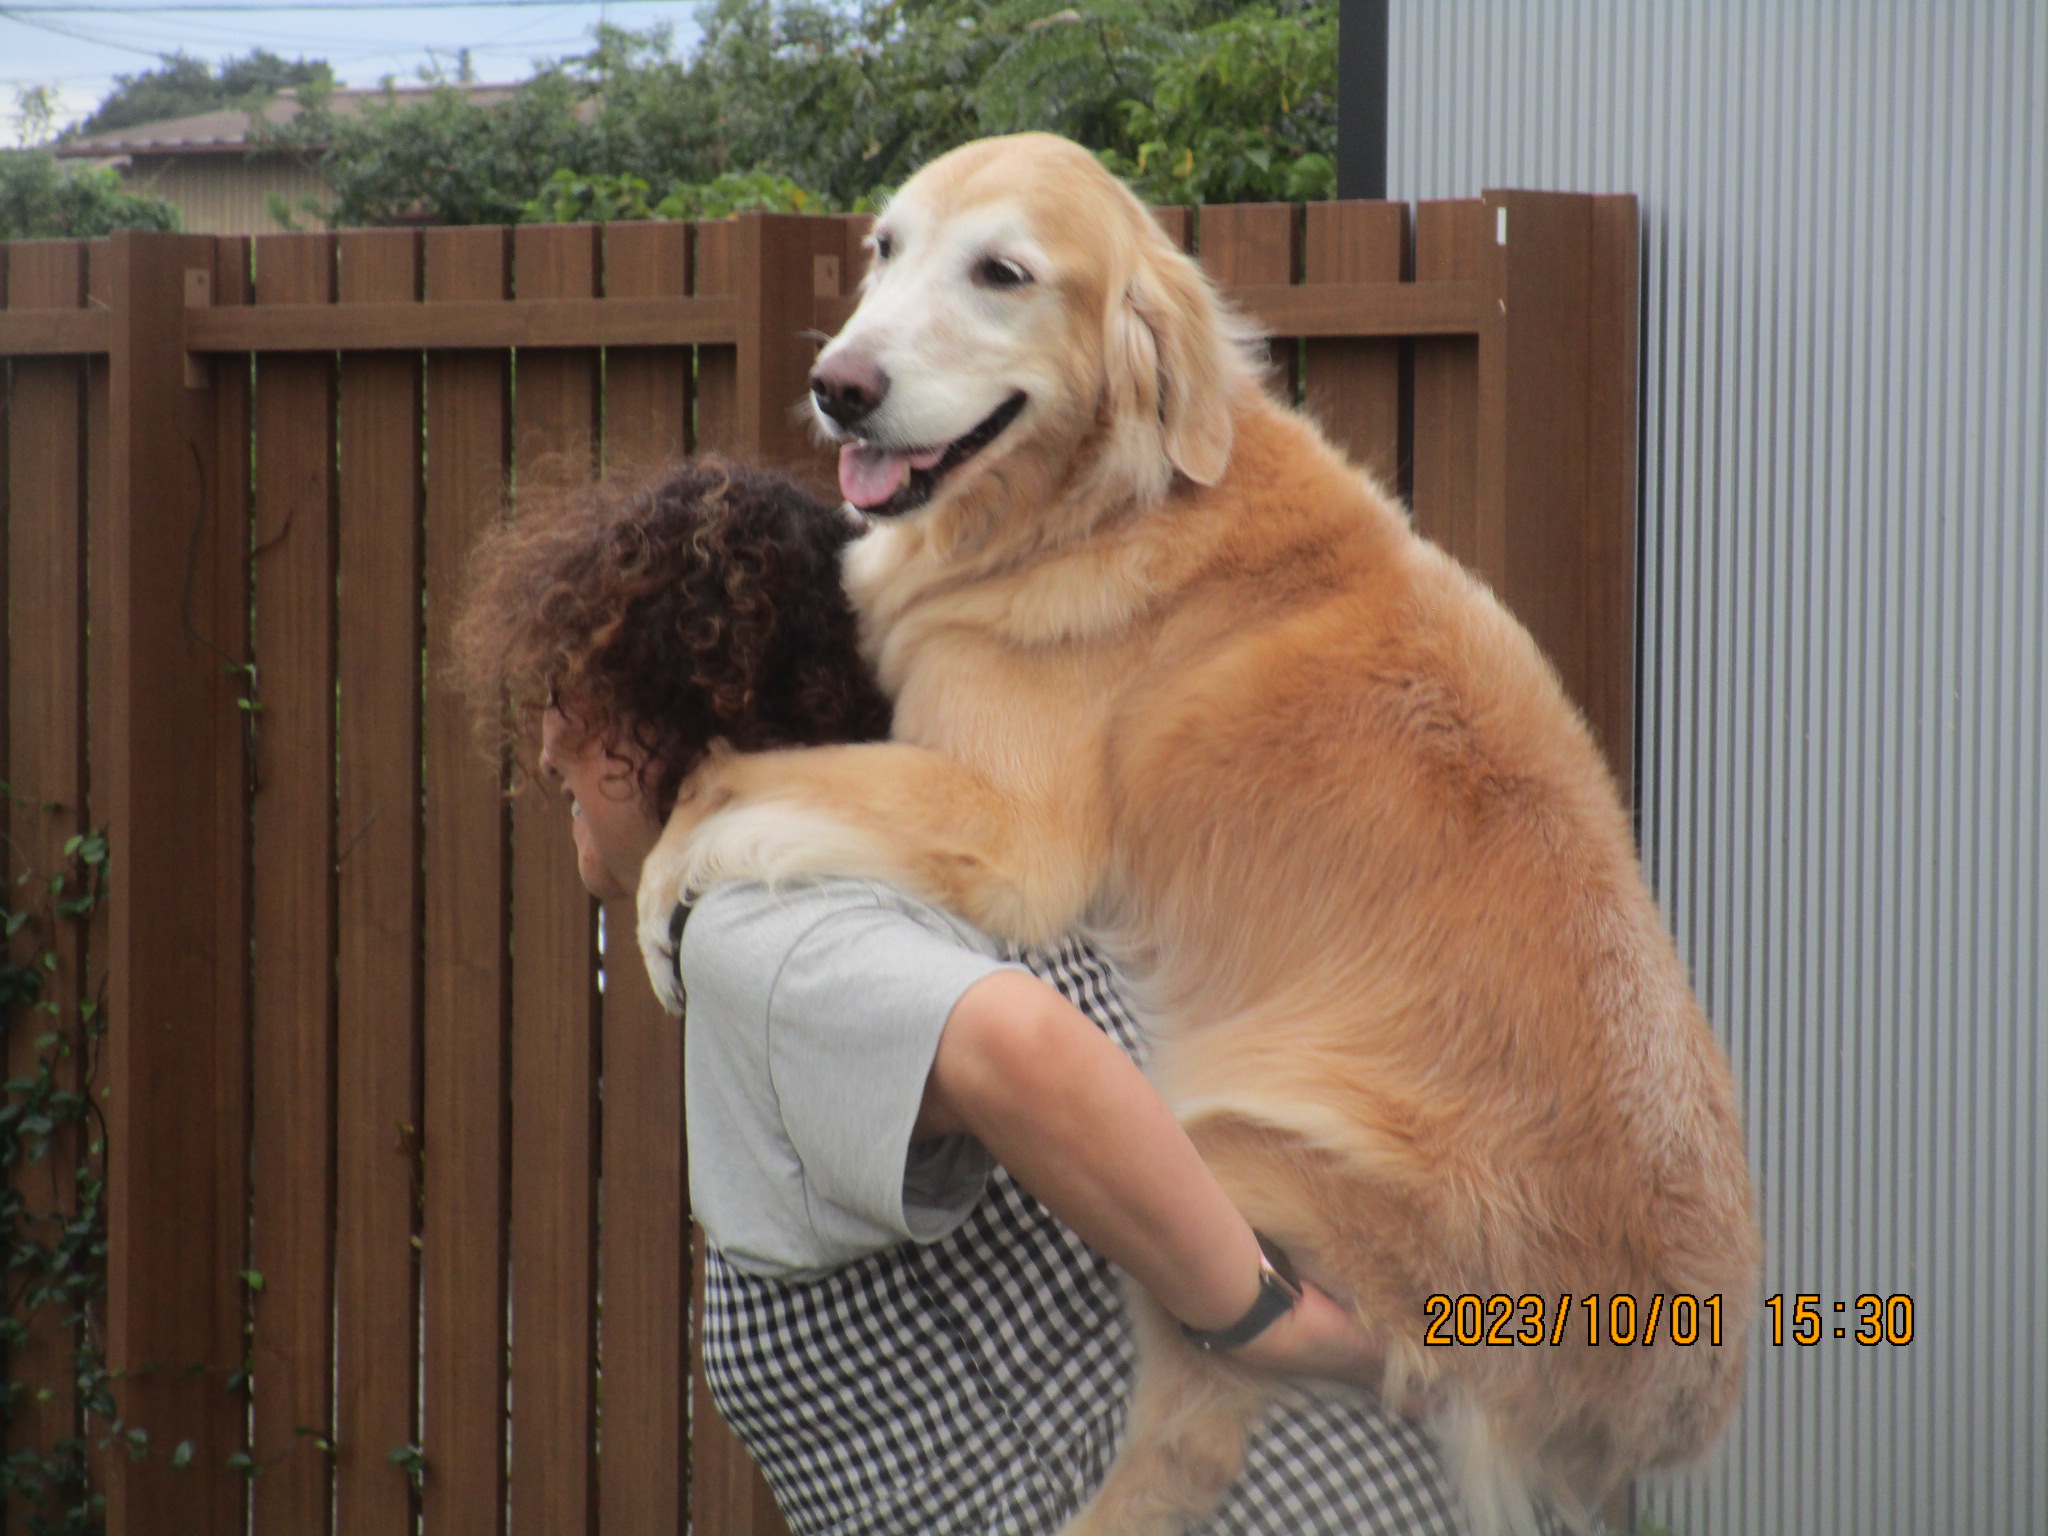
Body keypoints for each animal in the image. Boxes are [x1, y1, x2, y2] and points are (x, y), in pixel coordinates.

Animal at [638, 135, 1761, 1536]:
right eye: (885, 249)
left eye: (1001, 273)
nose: (836, 387)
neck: (1104, 504)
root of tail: (1666, 1401)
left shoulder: (1016, 833)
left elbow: (735, 781)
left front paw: (665, 889)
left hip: (1214, 1176)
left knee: (1179, 1452)